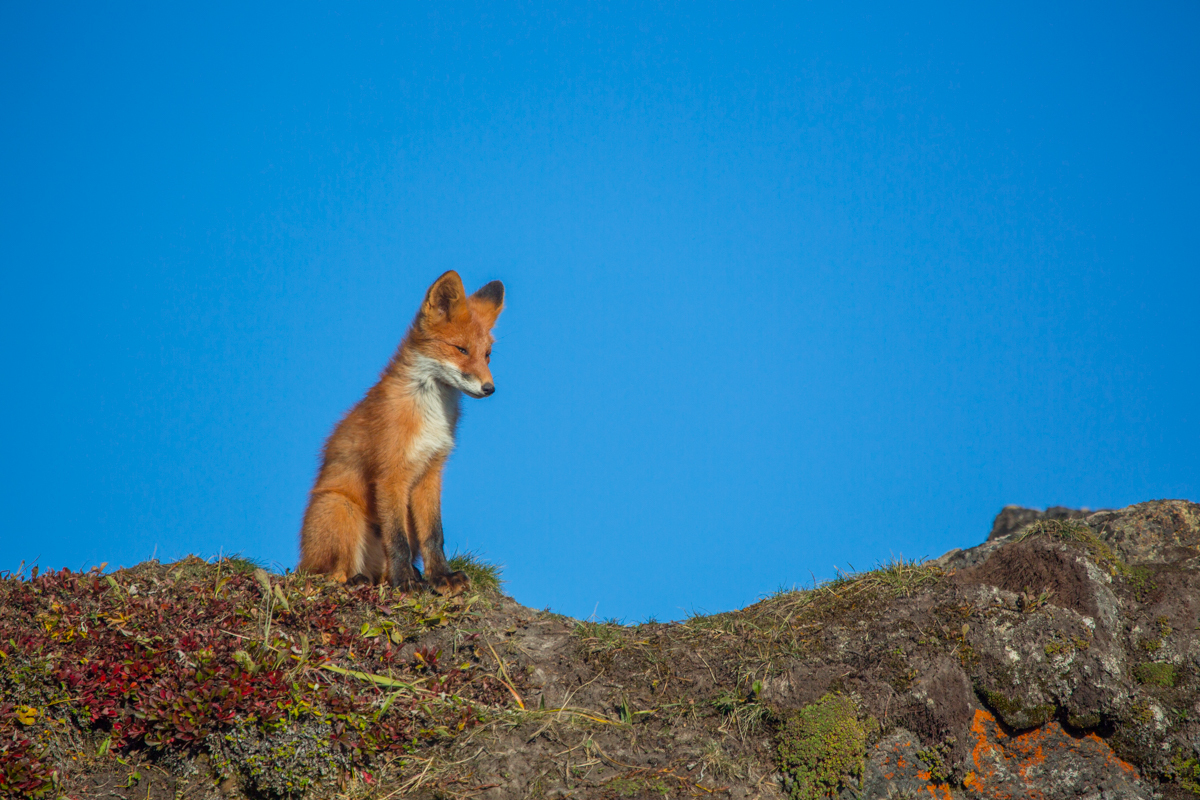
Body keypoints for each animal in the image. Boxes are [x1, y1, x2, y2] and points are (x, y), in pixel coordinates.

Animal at [304, 272, 506, 597]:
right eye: (461, 349)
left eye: (487, 355)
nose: (489, 388)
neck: (430, 414)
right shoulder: (391, 473)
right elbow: (397, 539)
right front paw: (405, 582)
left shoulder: (431, 472)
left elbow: (434, 536)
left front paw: (441, 576)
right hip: (340, 509)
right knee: (326, 573)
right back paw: (358, 579)